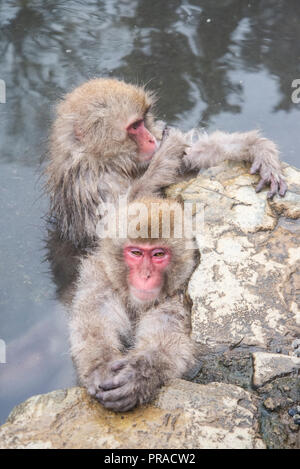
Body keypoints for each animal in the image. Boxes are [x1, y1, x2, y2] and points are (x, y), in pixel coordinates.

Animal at [44, 77, 286, 249]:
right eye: (134, 127)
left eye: (143, 121)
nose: (152, 139)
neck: (107, 161)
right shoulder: (87, 183)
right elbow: (110, 230)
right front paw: (167, 153)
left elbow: (190, 157)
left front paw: (258, 148)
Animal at [69, 197, 198, 410]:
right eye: (136, 253)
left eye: (158, 254)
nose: (145, 275)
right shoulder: (101, 277)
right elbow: (93, 320)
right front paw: (101, 365)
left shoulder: (178, 296)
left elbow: (168, 339)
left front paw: (138, 375)